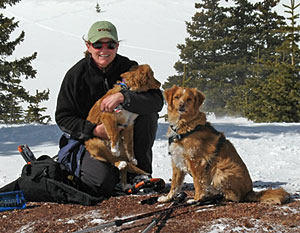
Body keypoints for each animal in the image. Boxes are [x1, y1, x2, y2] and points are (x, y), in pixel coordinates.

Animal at [158, 85, 290, 204]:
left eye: (189, 99)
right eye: (176, 97)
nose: (181, 105)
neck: (183, 127)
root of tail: (249, 191)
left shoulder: (196, 161)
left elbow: (198, 183)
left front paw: (196, 199)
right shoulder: (177, 161)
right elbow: (175, 185)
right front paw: (167, 198)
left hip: (221, 169)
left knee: (235, 197)